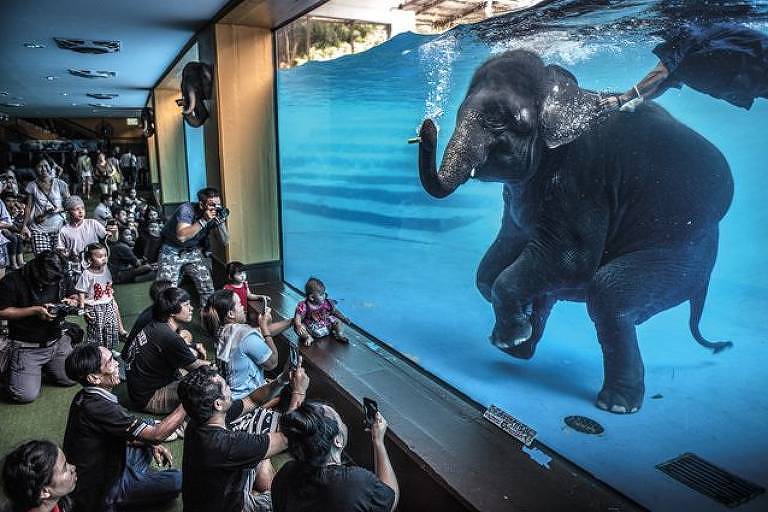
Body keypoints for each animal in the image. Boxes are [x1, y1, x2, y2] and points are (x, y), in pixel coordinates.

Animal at [417, 50, 734, 414]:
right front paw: (519, 325)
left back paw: (615, 405)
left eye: (499, 121)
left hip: (681, 253)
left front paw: (512, 333)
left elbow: (570, 260)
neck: (561, 93)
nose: (427, 127)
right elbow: (497, 259)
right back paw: (522, 348)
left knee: (607, 294)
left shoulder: (584, 178)